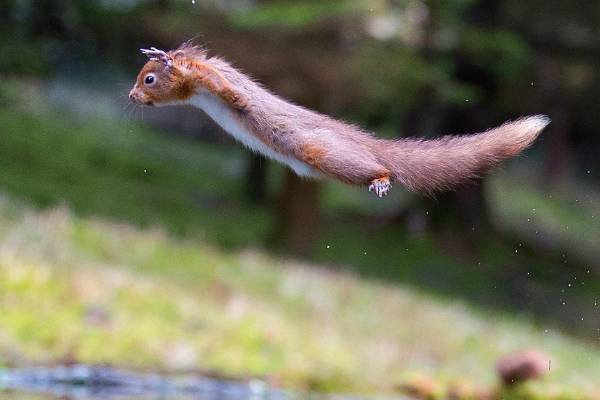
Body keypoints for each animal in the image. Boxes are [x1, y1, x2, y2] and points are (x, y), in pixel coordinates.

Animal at [129, 43, 552, 198]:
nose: (131, 97)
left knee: (375, 167)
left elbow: (231, 93)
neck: (195, 89)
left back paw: (381, 178)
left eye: (148, 79)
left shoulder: (219, 82)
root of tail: (367, 144)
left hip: (324, 151)